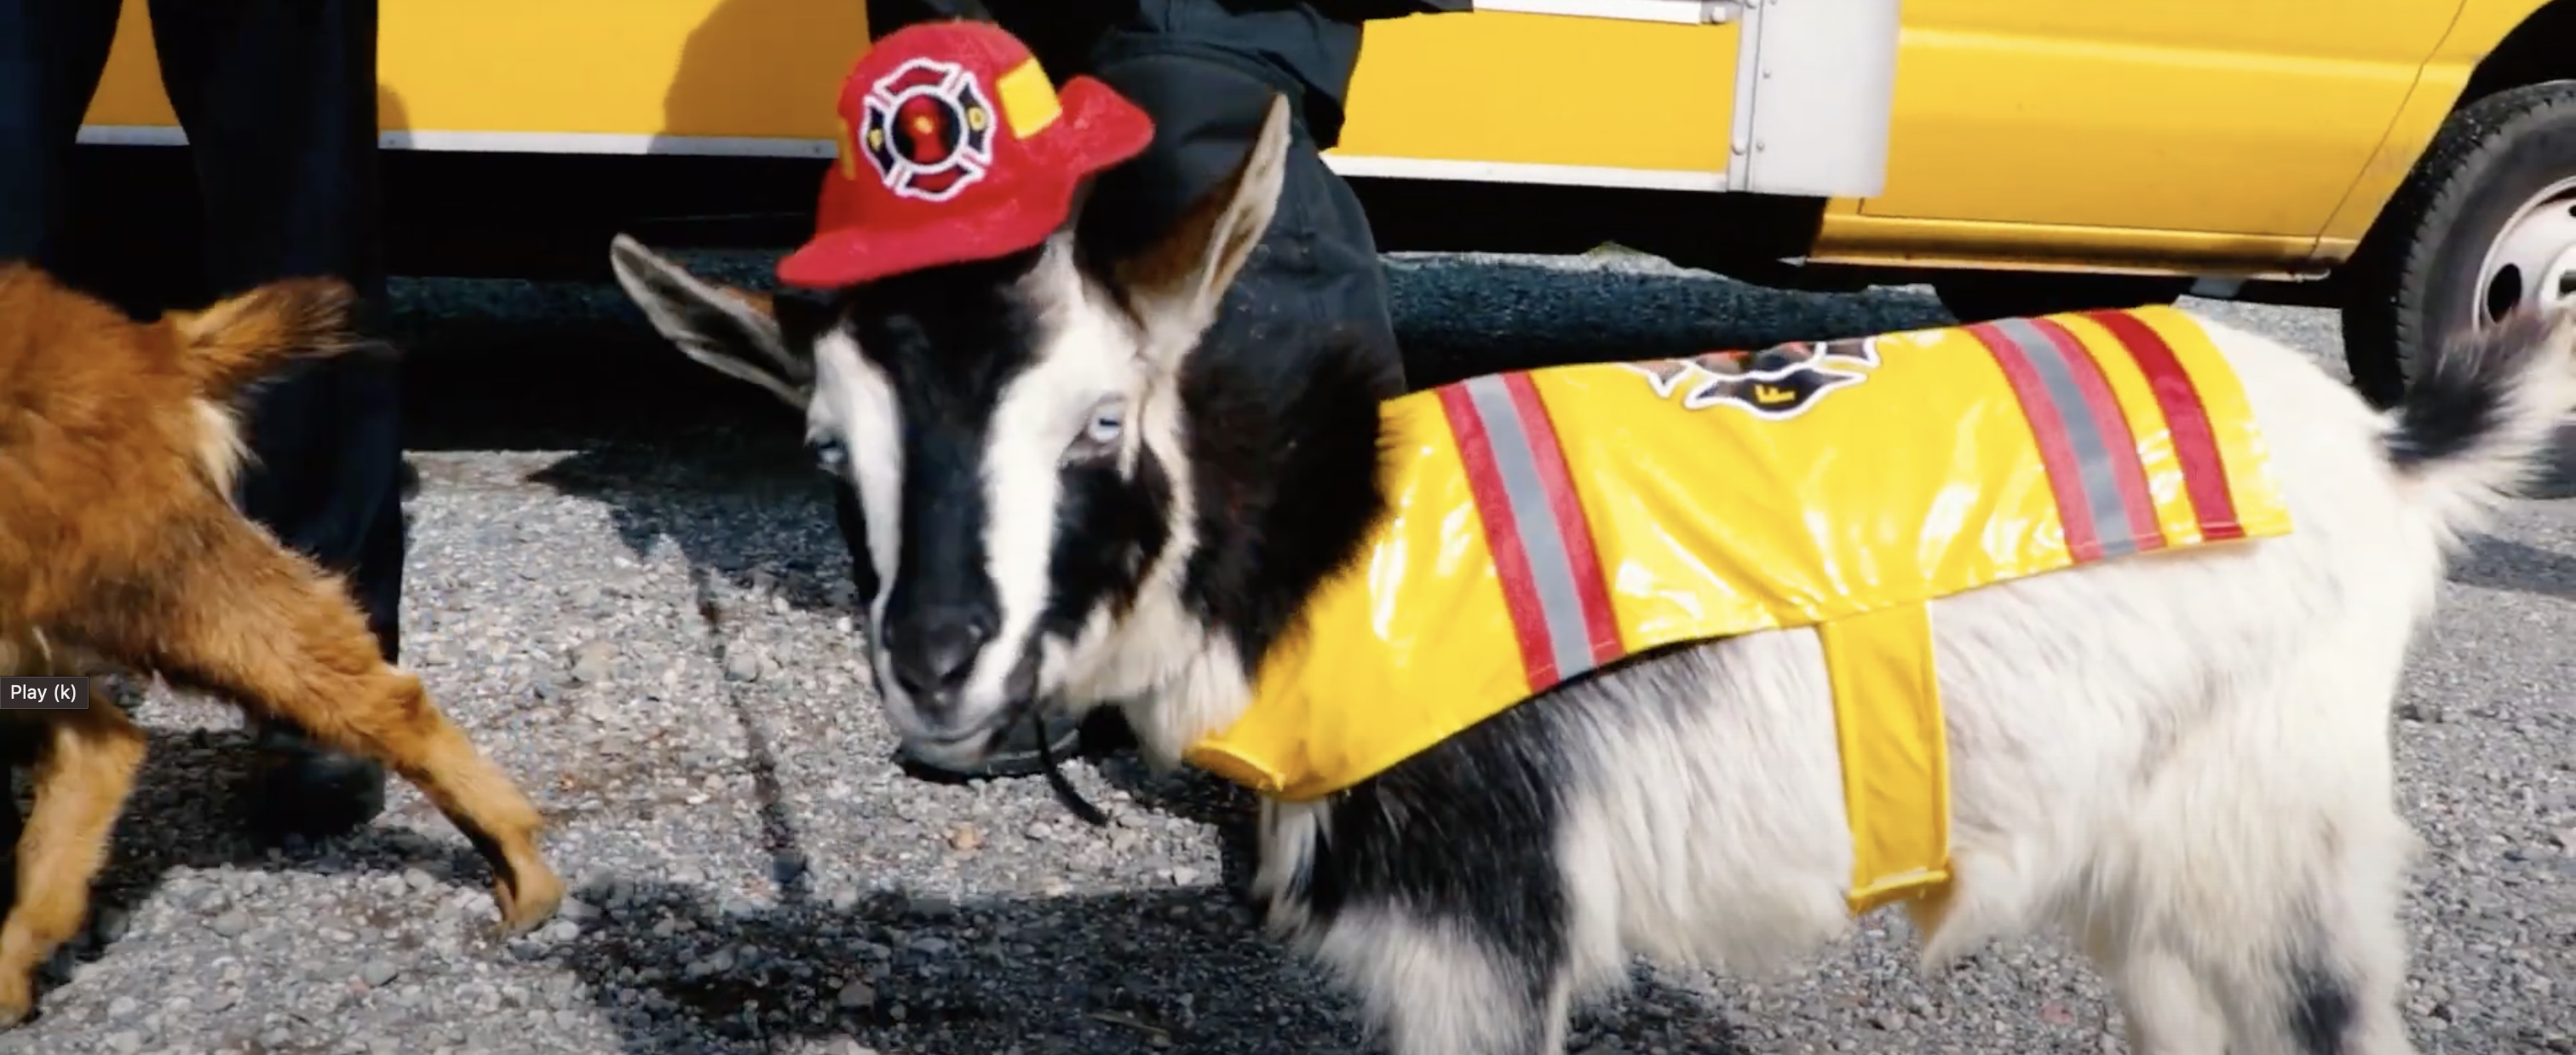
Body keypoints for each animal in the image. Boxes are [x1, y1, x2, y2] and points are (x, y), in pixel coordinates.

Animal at [607, 93, 2576, 1055]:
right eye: (826, 452)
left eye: (1103, 423)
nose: (935, 659)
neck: (1324, 551)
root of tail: (2384, 451)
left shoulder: (1486, 914)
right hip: (2165, 849)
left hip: (2279, 822)